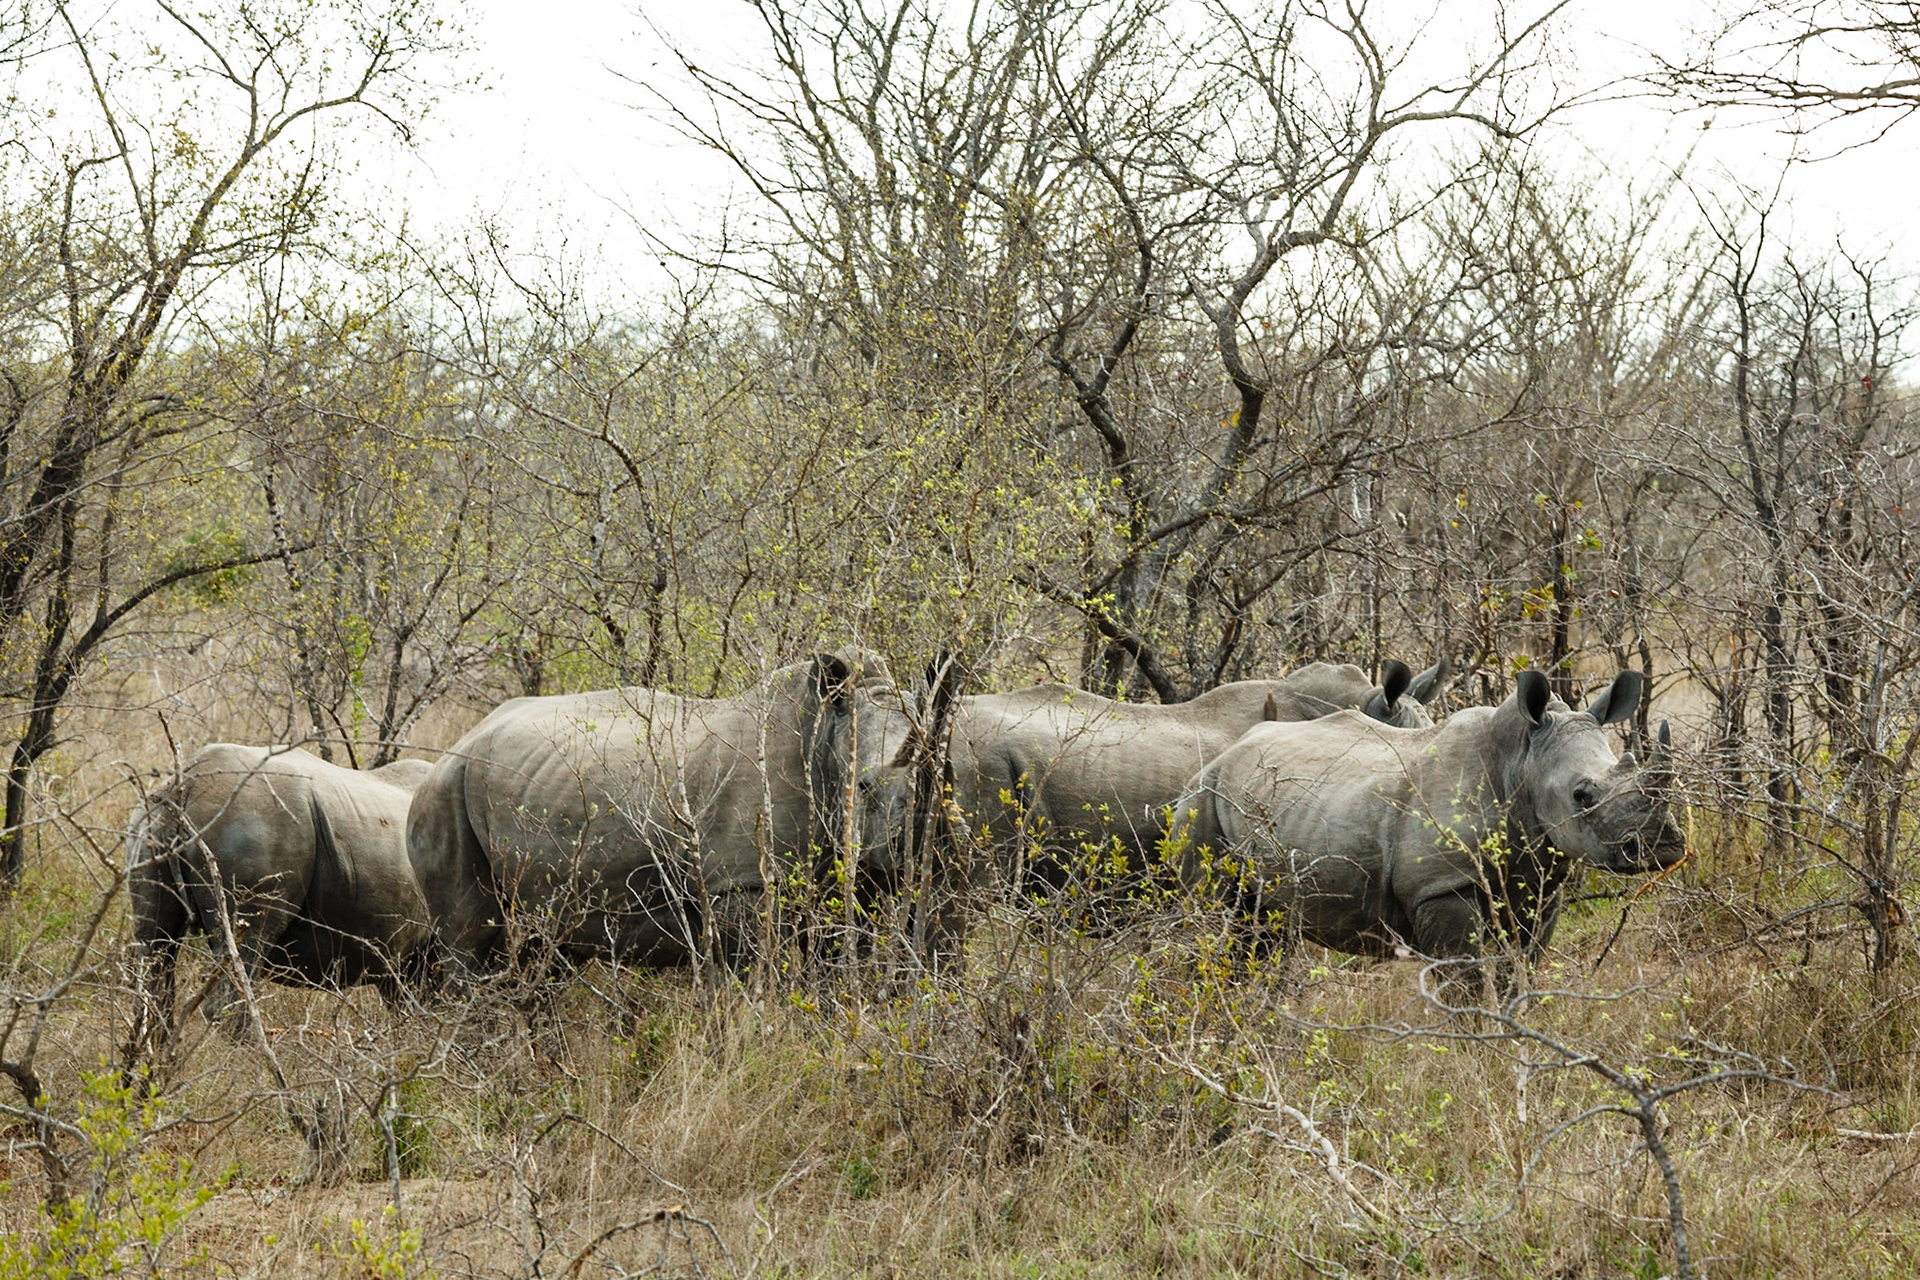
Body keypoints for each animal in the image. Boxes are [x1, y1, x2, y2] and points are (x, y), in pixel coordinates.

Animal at [404, 651, 918, 976]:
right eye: (863, 787)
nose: (900, 853)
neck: (822, 732)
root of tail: (459, 743)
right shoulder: (739, 884)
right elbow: (745, 984)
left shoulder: (850, 885)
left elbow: (837, 972)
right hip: (444, 792)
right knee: (469, 940)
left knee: (545, 949)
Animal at [1171, 669, 1684, 960]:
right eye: (1582, 795)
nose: (1664, 846)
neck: (1522, 763)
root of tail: (1222, 755)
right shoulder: (1441, 886)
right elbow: (1467, 986)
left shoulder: (1538, 889)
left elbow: (1520, 976)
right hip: (1202, 801)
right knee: (1215, 917)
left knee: (1261, 931)